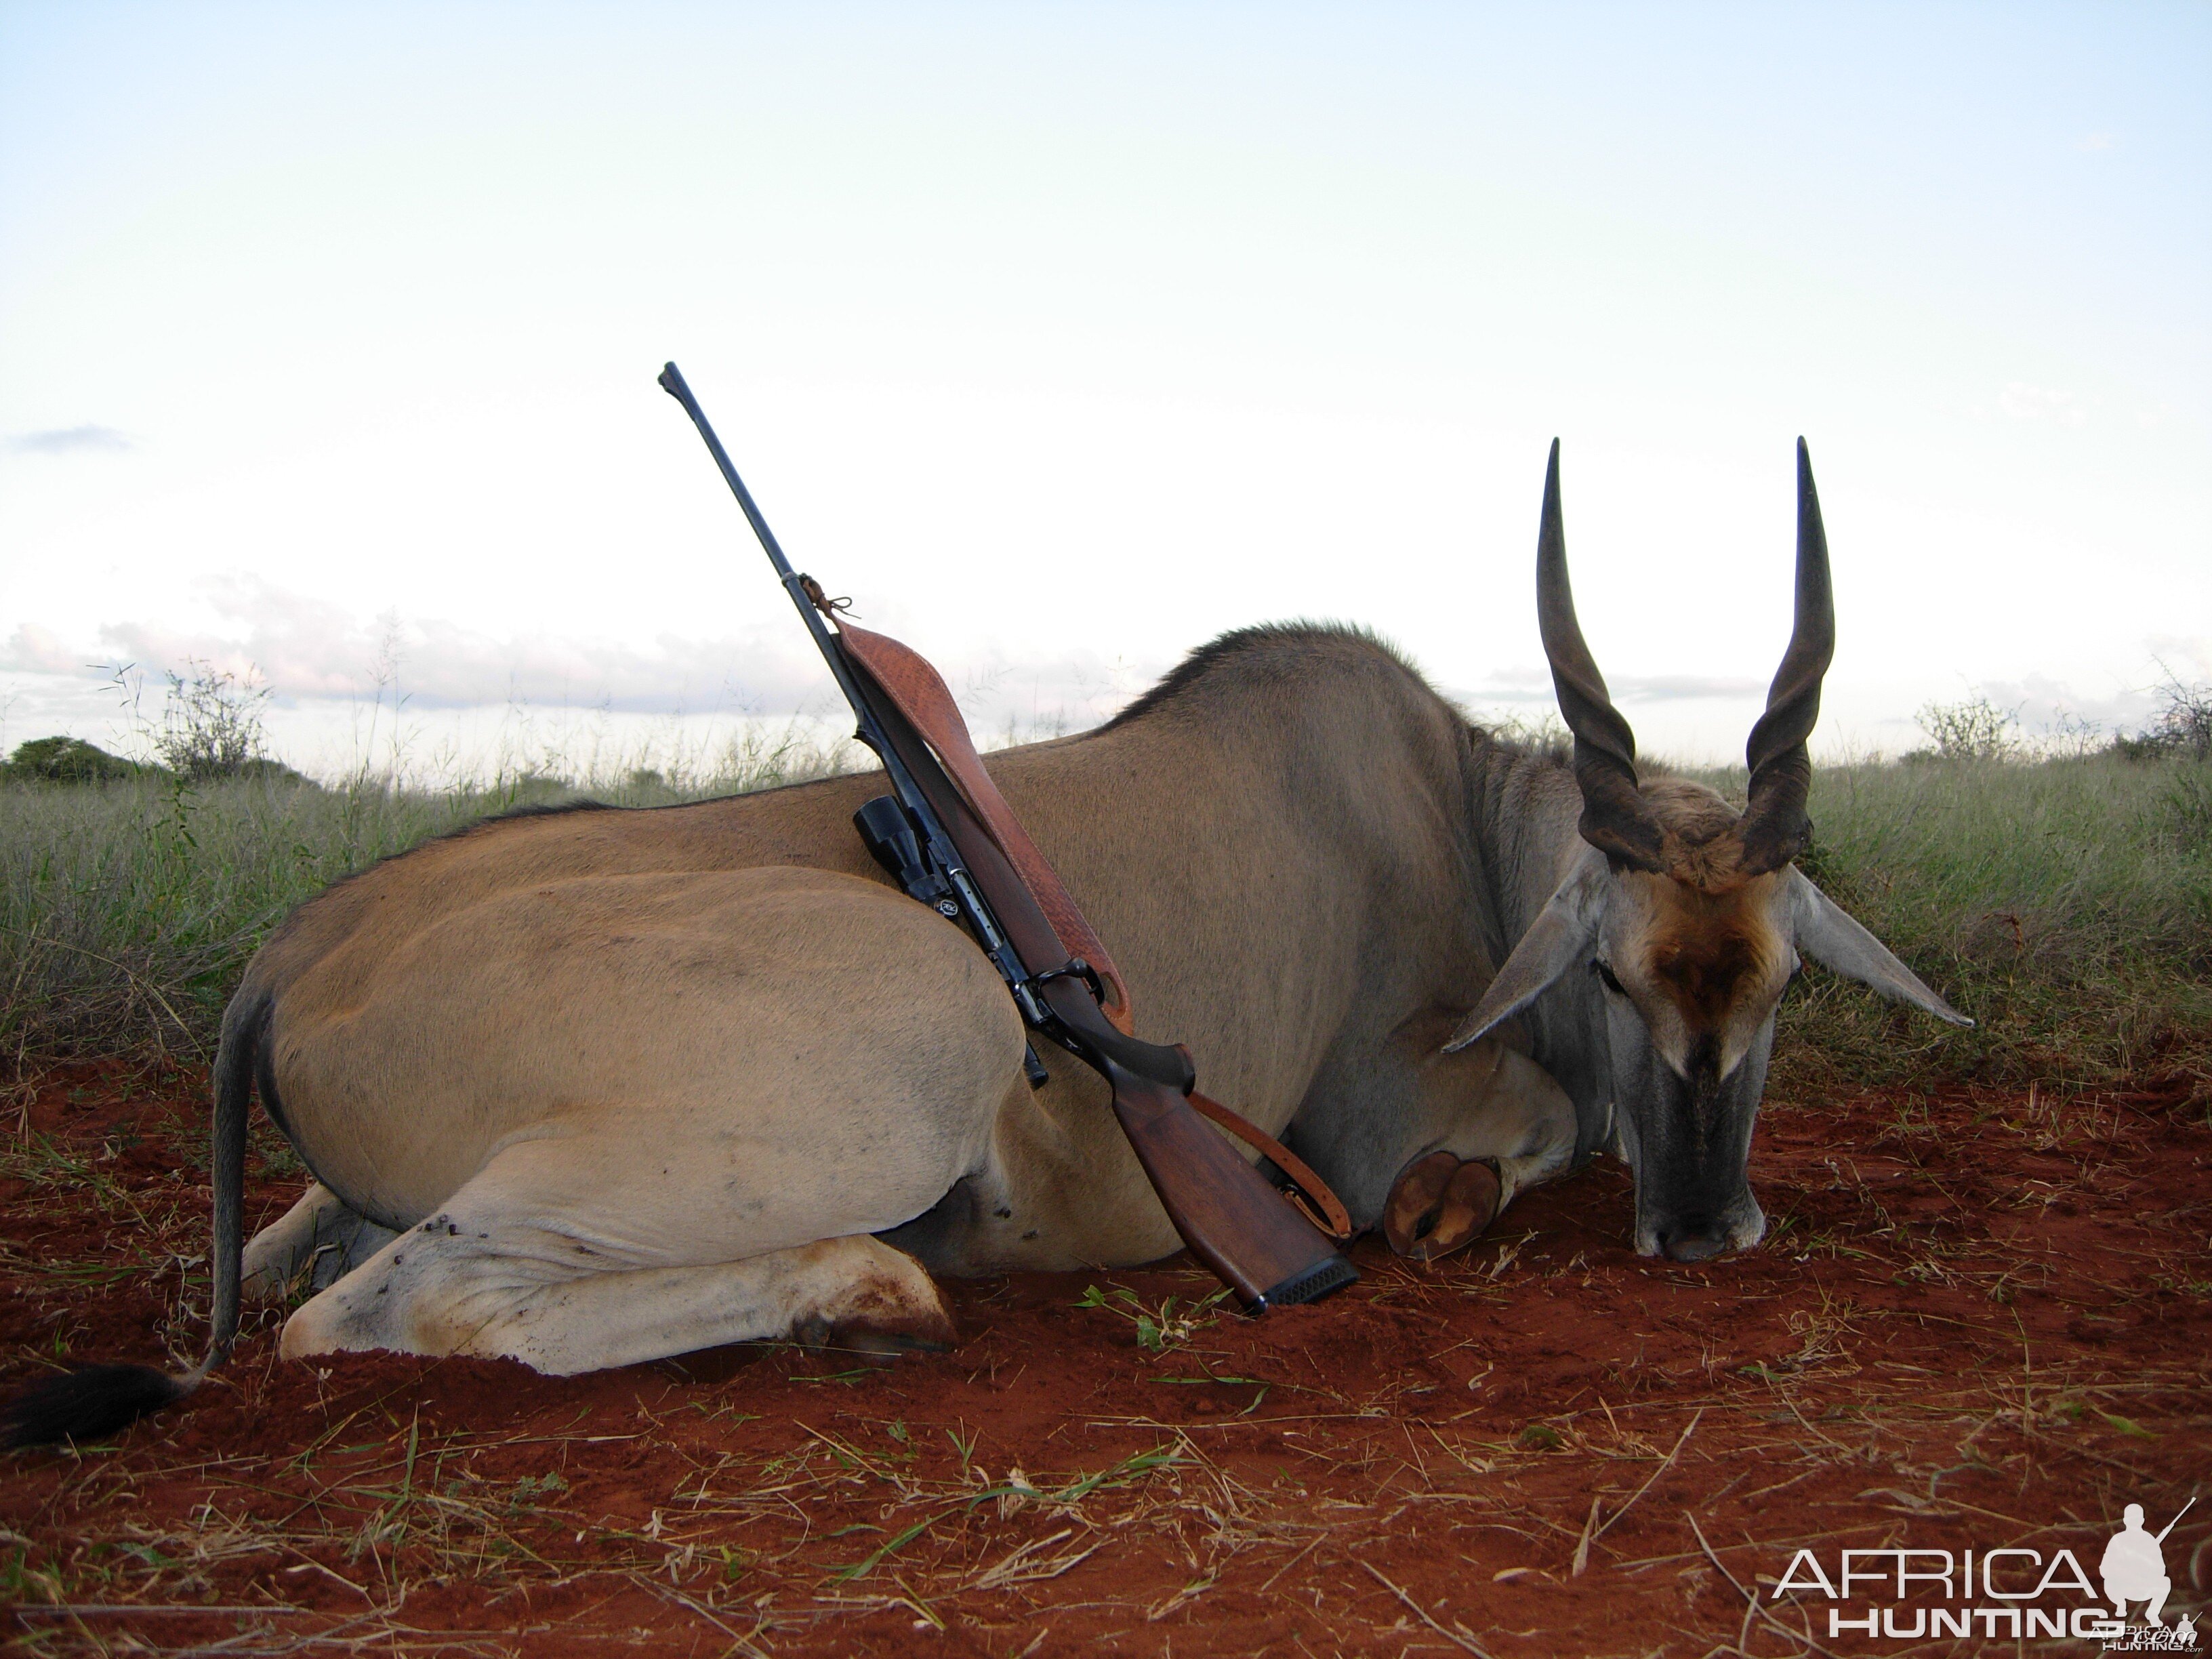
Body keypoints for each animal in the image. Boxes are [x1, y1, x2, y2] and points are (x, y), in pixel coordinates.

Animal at [8, 438, 1964, 1442]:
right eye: (1619, 970)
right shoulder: (1391, 1117)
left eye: (1781, 977)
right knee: (386, 1306)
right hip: (907, 1043)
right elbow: (1515, 1140)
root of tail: (293, 955)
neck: (1456, 822)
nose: (1705, 1225)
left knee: (308, 1260)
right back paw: (860, 1293)